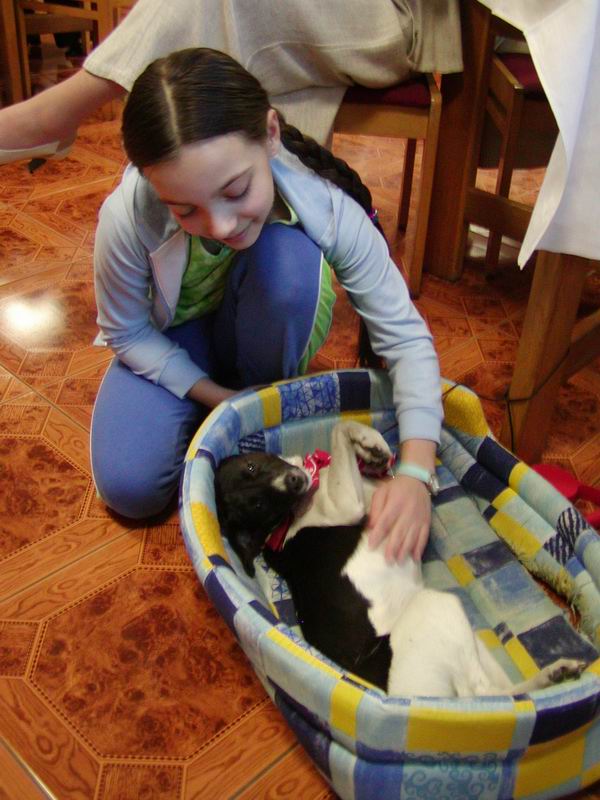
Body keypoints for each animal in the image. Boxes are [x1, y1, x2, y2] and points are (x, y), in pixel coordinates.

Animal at [215, 421, 585, 697]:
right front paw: (366, 441)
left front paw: (372, 446)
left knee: (504, 697)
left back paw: (555, 675)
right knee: (484, 698)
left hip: (471, 640)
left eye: (252, 466)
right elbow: (339, 426)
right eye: (259, 506)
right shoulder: (346, 504)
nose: (294, 481)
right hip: (437, 608)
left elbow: (349, 439)